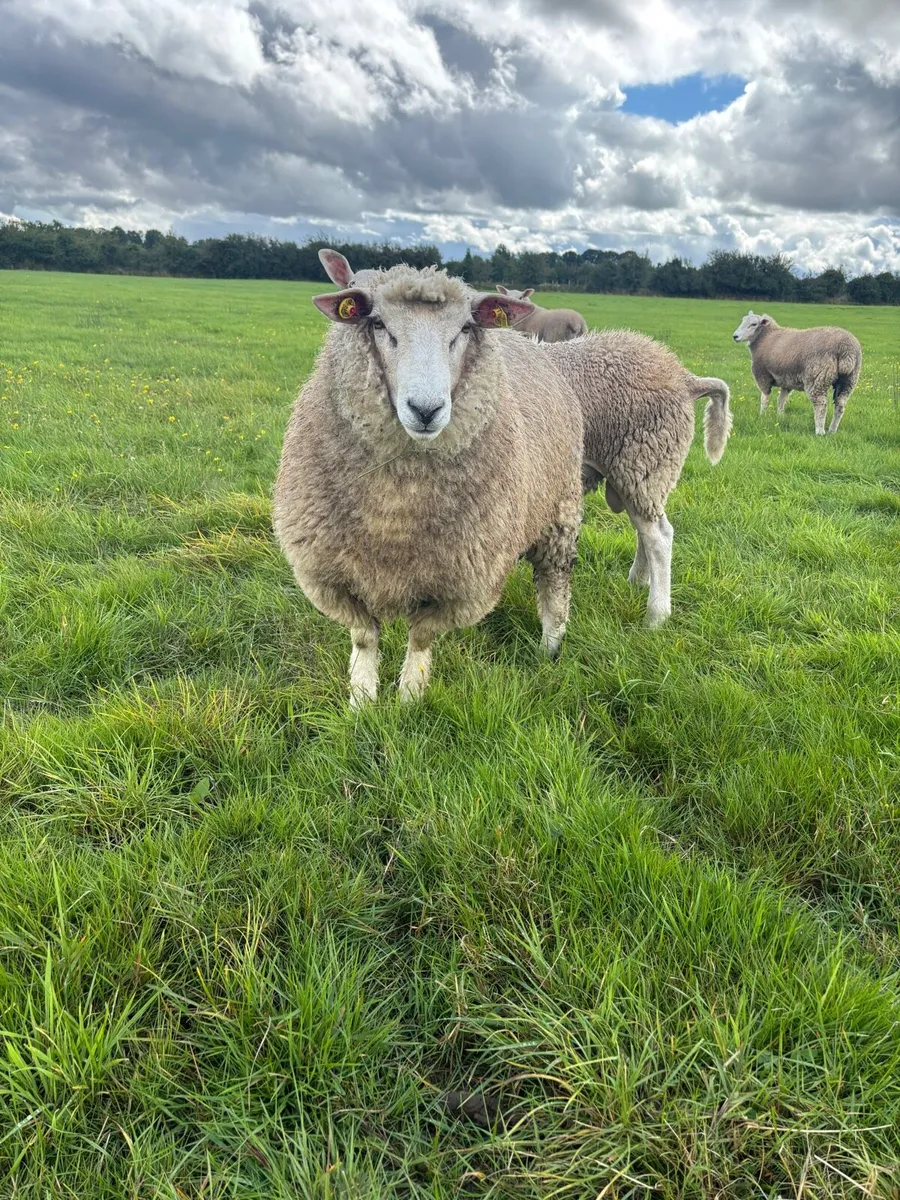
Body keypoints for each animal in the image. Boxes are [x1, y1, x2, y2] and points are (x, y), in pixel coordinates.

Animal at [273, 264, 585, 707]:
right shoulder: (329, 573)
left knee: (554, 581)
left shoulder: (462, 580)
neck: (396, 510)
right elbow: (364, 637)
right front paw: (362, 701)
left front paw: (409, 698)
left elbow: (421, 638)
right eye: (379, 324)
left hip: (559, 511)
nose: (425, 409)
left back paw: (550, 648)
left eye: (465, 328)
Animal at [543, 330, 732, 628]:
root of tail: (685, 378)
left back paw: (656, 616)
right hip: (635, 475)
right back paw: (638, 581)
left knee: (659, 537)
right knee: (647, 531)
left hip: (642, 463)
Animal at [732, 311, 862, 435]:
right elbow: (781, 400)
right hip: (849, 380)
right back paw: (832, 430)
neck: (765, 337)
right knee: (840, 405)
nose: (735, 336)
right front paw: (780, 417)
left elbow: (764, 398)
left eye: (753, 324)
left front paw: (762, 415)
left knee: (821, 405)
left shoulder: (762, 375)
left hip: (817, 378)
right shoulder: (786, 380)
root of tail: (846, 350)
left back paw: (820, 431)